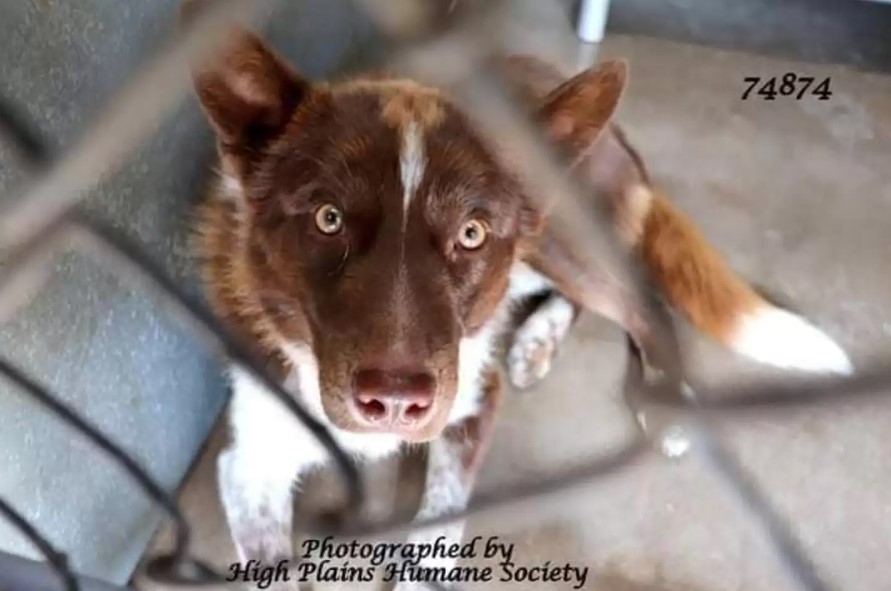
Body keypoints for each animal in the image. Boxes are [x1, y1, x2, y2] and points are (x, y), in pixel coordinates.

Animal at [190, 31, 852, 588]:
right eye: (328, 218)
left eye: (472, 233)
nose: (397, 403)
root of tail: (614, 134)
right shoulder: (247, 463)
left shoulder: (472, 402)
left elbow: (434, 532)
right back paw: (537, 340)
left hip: (559, 236)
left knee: (640, 303)